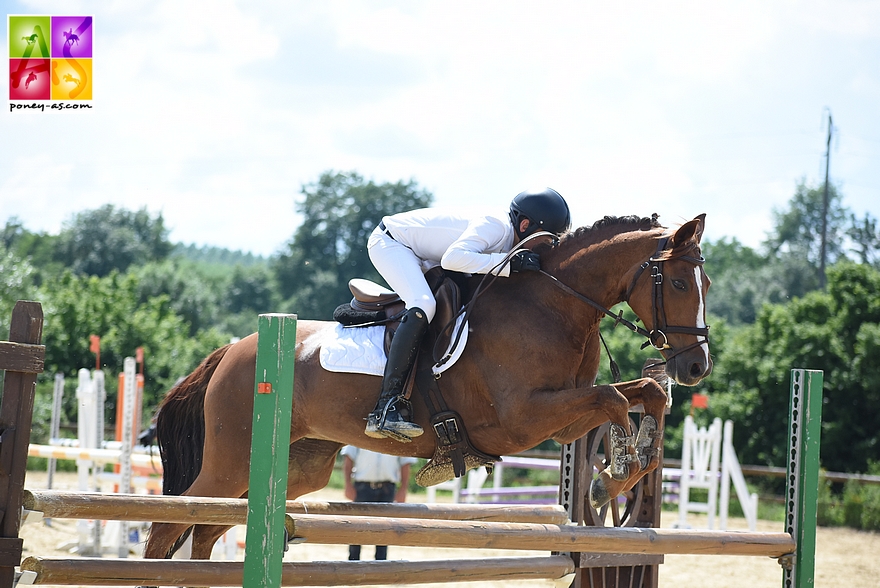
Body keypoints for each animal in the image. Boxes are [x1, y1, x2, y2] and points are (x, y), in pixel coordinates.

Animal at [143, 212, 708, 560]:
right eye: (680, 283)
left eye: (704, 283)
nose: (696, 367)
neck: (553, 303)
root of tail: (233, 350)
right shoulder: (521, 420)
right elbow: (613, 398)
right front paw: (612, 476)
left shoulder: (564, 421)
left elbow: (645, 393)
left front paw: (627, 466)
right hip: (230, 459)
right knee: (172, 522)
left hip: (294, 465)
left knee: (208, 525)